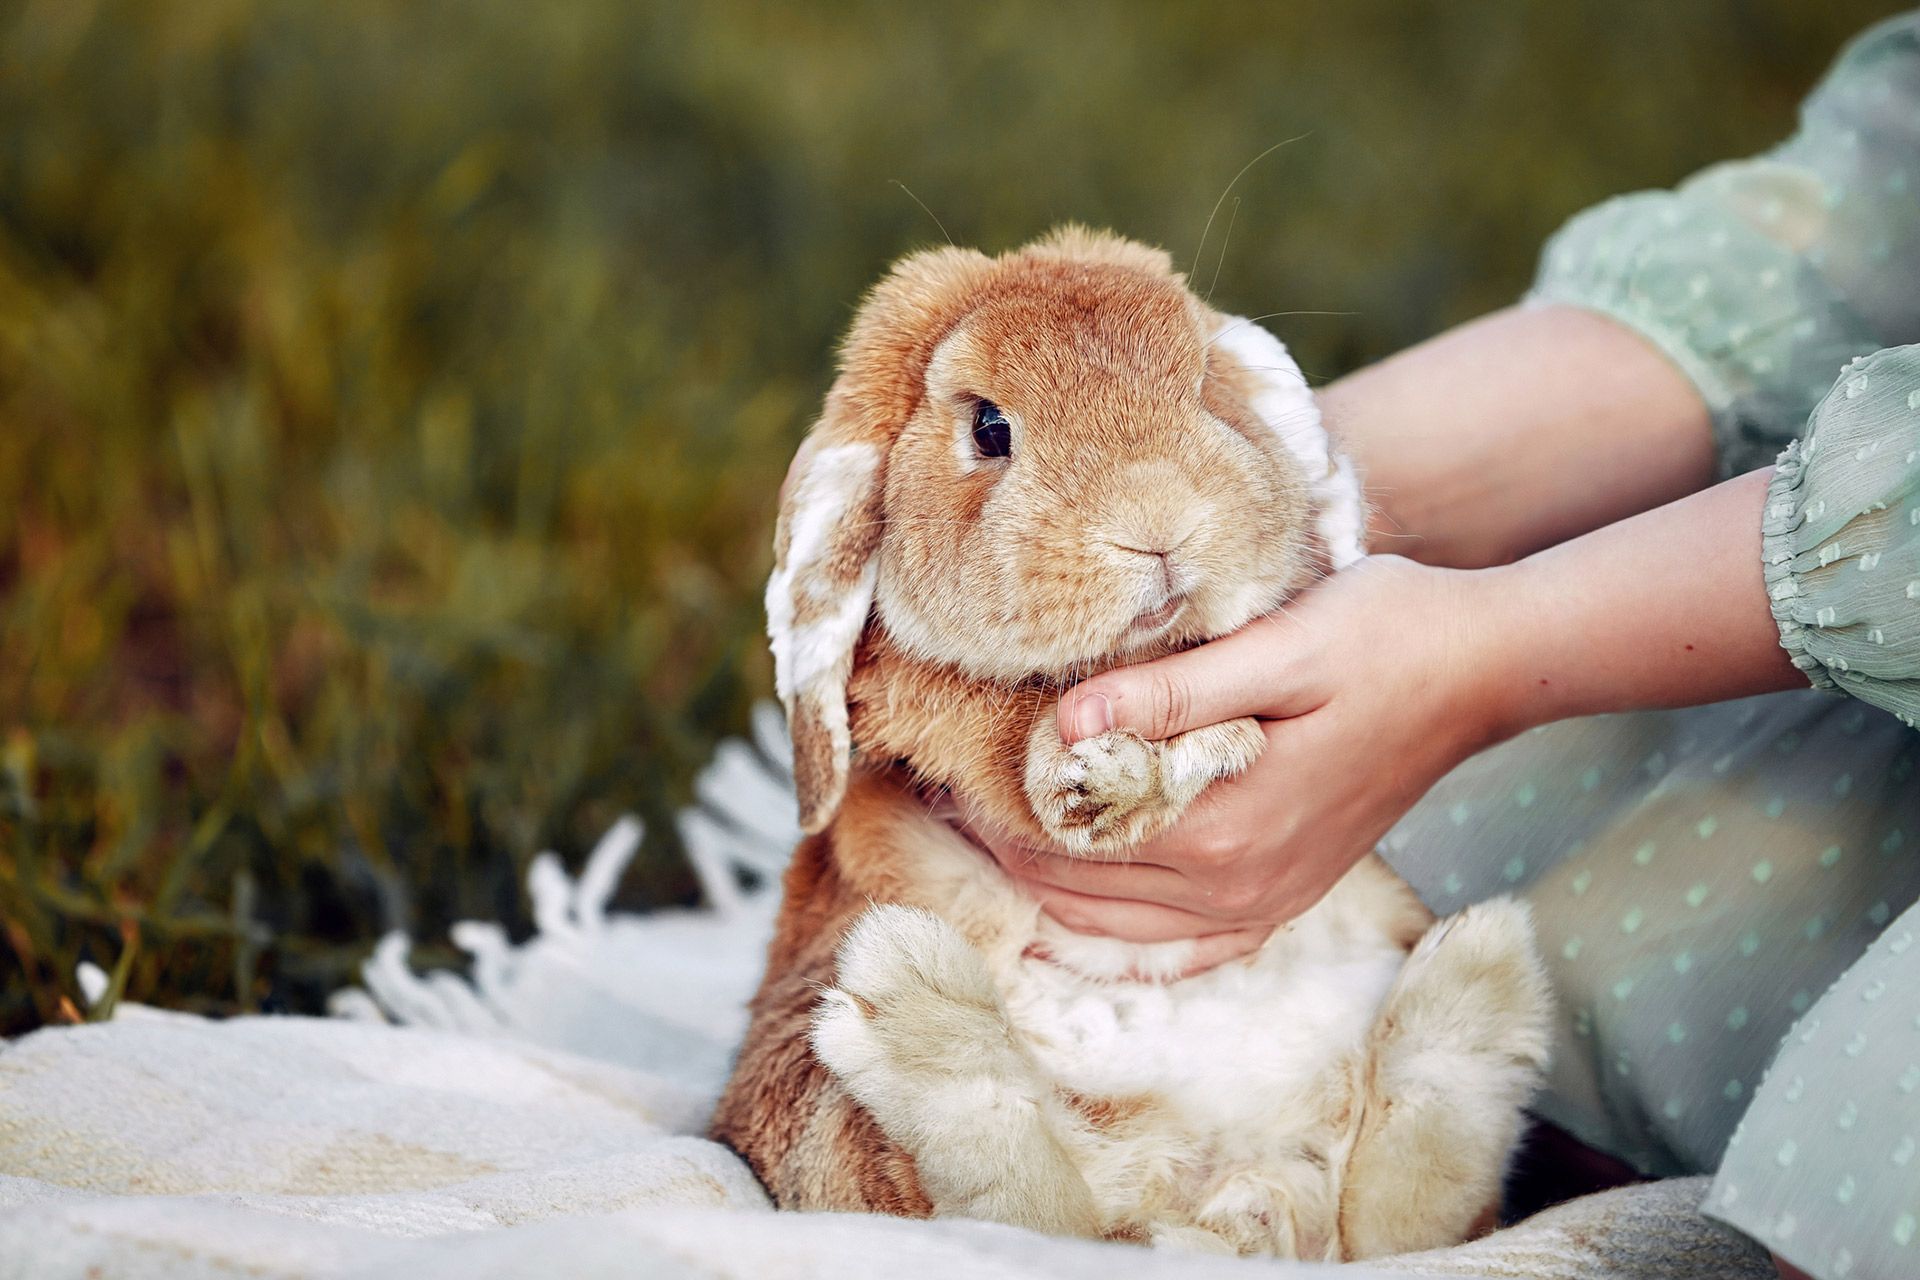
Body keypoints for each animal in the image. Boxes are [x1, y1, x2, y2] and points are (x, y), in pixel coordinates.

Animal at [710, 227, 1552, 1260]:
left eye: (1202, 388)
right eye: (988, 428)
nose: (1157, 523)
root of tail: (1211, 1192)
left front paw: (1165, 759)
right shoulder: (929, 709)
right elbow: (982, 724)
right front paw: (1109, 777)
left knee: (1395, 1223)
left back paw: (1475, 996)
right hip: (813, 1075)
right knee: (997, 1213)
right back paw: (908, 1016)